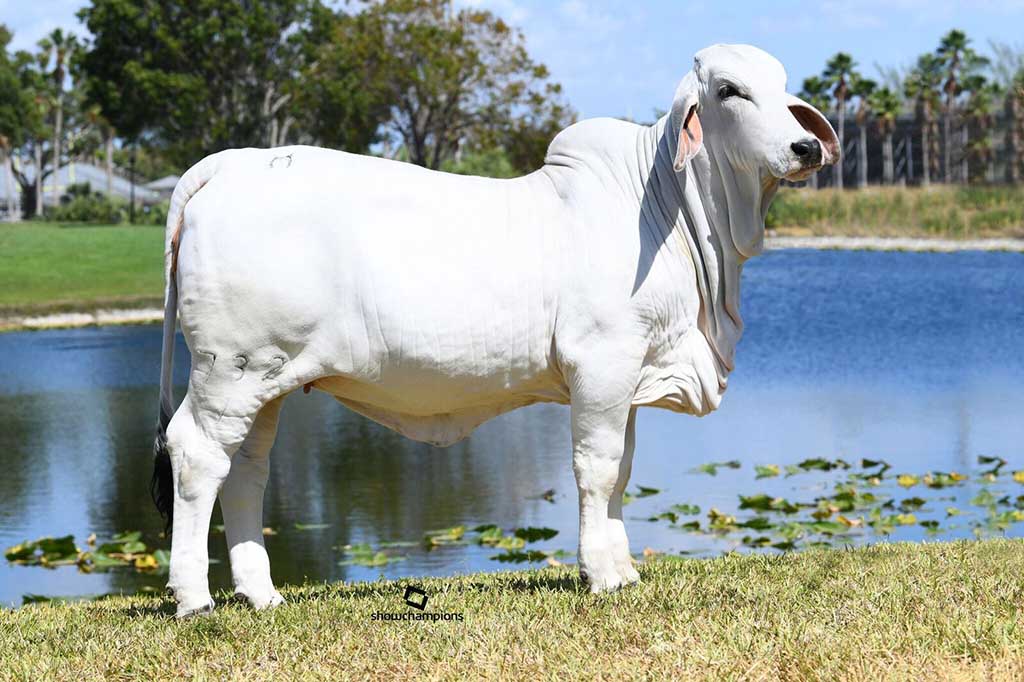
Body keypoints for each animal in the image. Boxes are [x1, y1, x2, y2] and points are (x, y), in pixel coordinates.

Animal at [152, 43, 839, 617]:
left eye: (784, 89)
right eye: (729, 90)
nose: (806, 147)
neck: (671, 213)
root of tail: (232, 167)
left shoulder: (629, 378)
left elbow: (621, 471)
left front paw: (622, 570)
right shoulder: (601, 365)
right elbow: (595, 468)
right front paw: (600, 576)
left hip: (265, 379)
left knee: (246, 469)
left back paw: (261, 594)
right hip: (228, 371)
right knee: (196, 454)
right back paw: (194, 599)